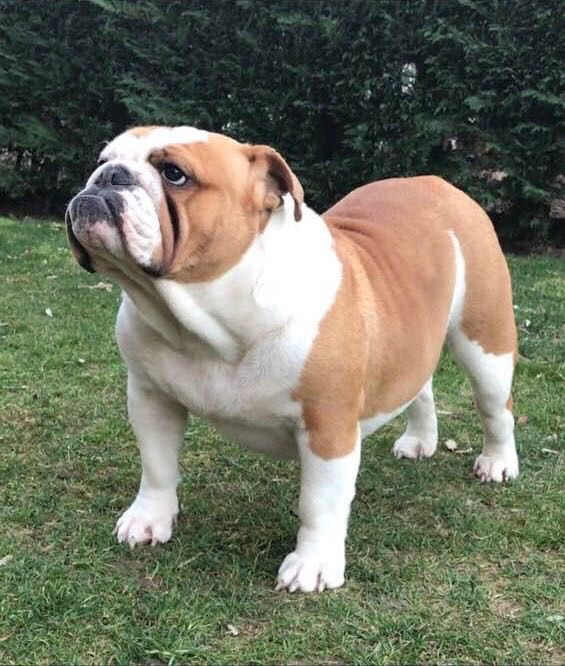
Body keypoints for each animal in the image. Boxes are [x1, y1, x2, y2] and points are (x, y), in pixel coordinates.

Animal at [67, 126, 518, 593]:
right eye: (103, 159)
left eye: (174, 173)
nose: (109, 176)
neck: (209, 317)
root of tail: (439, 185)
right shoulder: (151, 398)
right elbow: (156, 466)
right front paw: (148, 519)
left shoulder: (327, 427)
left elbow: (319, 503)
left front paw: (313, 564)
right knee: (420, 387)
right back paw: (419, 441)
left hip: (485, 342)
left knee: (496, 407)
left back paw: (498, 463)